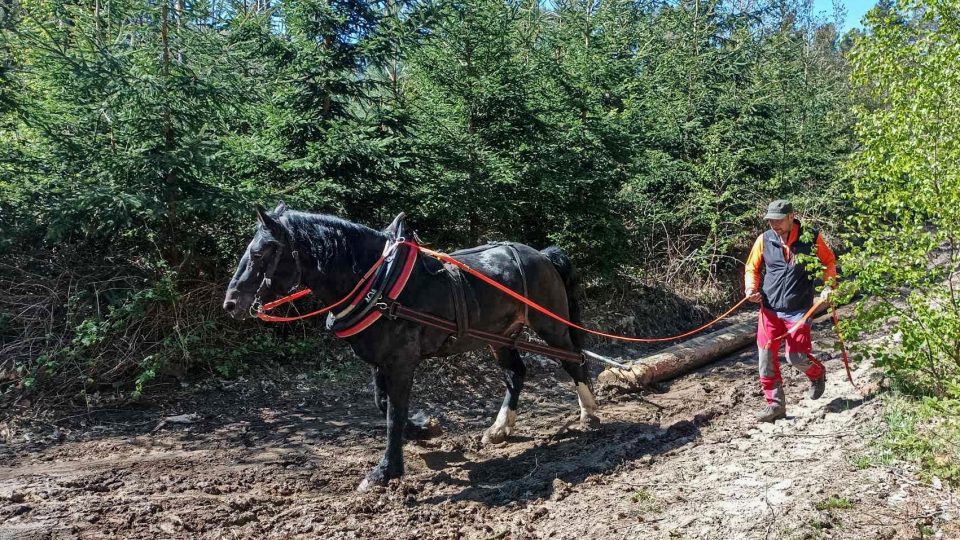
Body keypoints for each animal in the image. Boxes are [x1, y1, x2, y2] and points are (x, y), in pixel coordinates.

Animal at [225, 201, 600, 490]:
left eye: (263, 250)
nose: (231, 302)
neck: (379, 282)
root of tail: (543, 255)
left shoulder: (402, 361)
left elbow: (393, 413)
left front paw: (385, 472)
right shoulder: (381, 360)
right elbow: (384, 405)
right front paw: (423, 430)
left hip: (551, 326)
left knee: (574, 360)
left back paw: (590, 412)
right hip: (499, 336)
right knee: (516, 373)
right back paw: (500, 428)